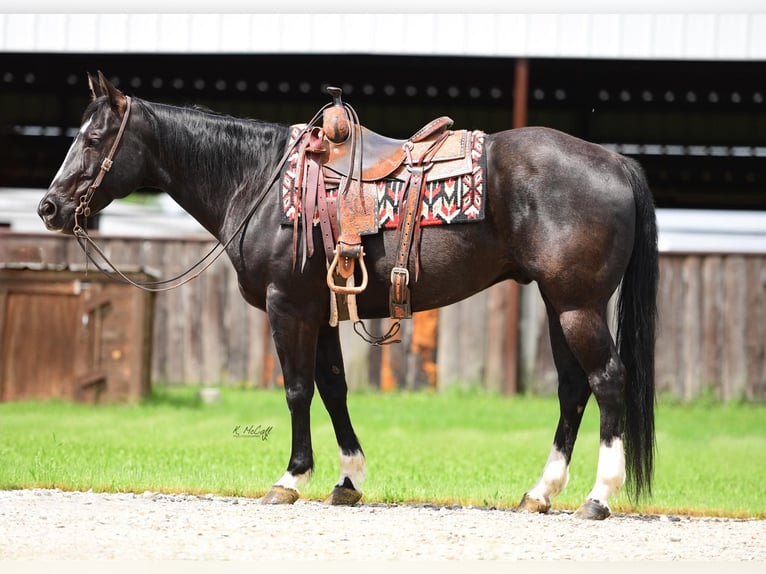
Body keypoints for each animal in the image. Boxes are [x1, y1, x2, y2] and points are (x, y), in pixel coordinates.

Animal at [37, 73, 660, 520]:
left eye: (94, 138)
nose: (49, 207)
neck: (258, 180)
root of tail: (615, 160)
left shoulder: (289, 306)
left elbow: (296, 390)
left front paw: (291, 478)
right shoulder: (324, 312)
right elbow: (334, 389)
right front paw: (348, 478)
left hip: (577, 305)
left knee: (607, 381)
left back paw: (599, 496)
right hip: (559, 305)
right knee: (574, 390)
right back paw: (541, 491)